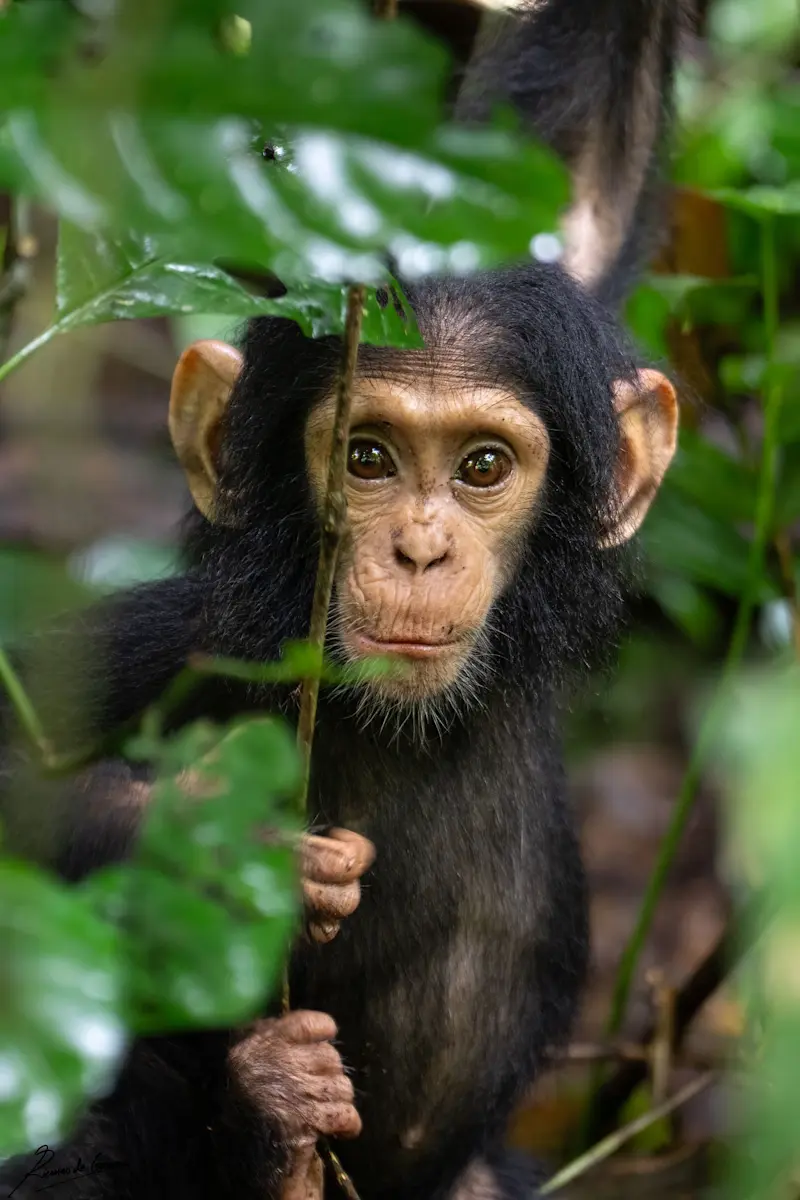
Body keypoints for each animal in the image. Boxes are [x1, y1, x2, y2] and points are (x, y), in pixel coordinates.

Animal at [0, 2, 685, 1197]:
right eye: (367, 456)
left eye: (481, 467)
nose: (419, 550)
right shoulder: (167, 647)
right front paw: (201, 838)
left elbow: (582, 165)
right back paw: (270, 1115)